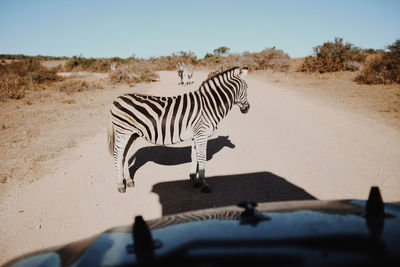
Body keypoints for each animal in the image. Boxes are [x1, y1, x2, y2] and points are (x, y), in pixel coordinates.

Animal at [108, 66, 248, 194]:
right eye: (246, 88)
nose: (247, 109)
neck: (209, 105)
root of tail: (117, 98)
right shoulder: (201, 134)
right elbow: (202, 158)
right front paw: (204, 184)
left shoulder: (196, 135)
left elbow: (194, 156)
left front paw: (194, 179)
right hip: (123, 132)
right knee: (118, 154)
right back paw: (120, 184)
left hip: (133, 134)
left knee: (125, 155)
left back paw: (129, 181)